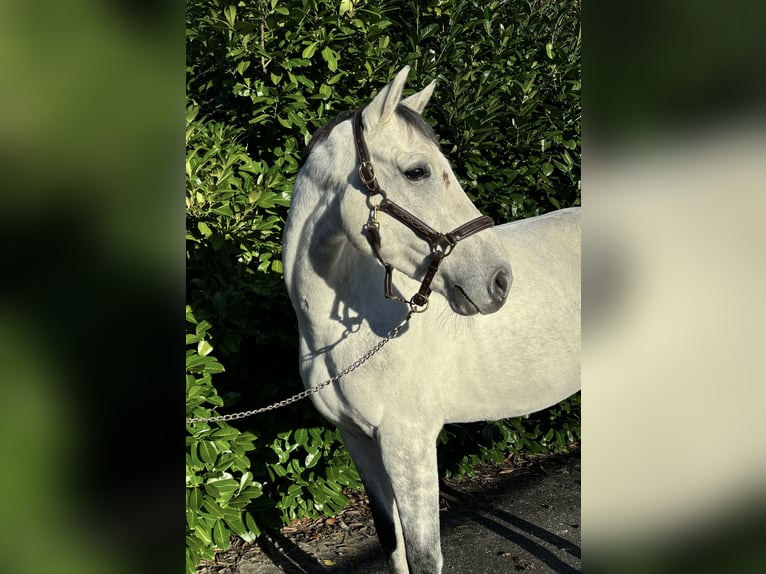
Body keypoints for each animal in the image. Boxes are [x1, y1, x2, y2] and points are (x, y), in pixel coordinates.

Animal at [282, 66, 580, 574]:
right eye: (416, 171)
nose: (499, 280)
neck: (341, 334)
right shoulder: (359, 442)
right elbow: (392, 542)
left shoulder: (410, 444)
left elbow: (424, 556)